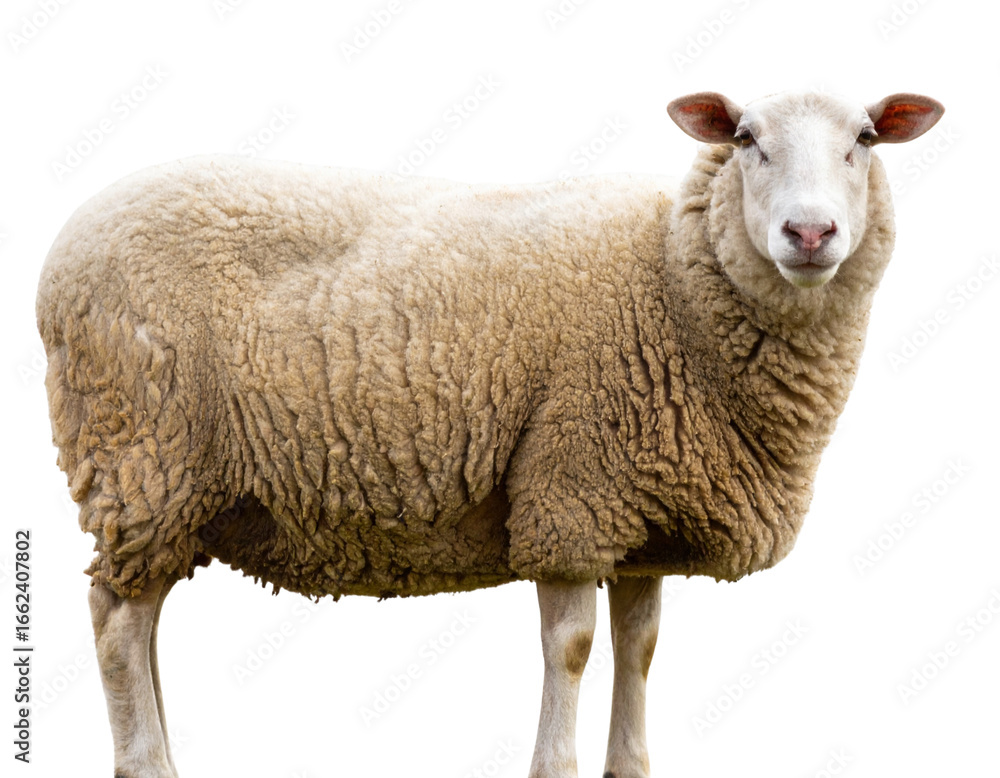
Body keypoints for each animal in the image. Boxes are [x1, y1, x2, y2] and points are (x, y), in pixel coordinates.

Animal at [36, 89, 943, 778]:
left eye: (865, 139)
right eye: (747, 138)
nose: (810, 234)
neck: (670, 281)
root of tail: (64, 245)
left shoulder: (642, 515)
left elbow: (640, 647)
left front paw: (629, 766)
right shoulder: (571, 491)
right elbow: (572, 647)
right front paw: (555, 767)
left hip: (170, 484)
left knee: (145, 618)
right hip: (140, 450)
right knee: (116, 621)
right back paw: (146, 763)